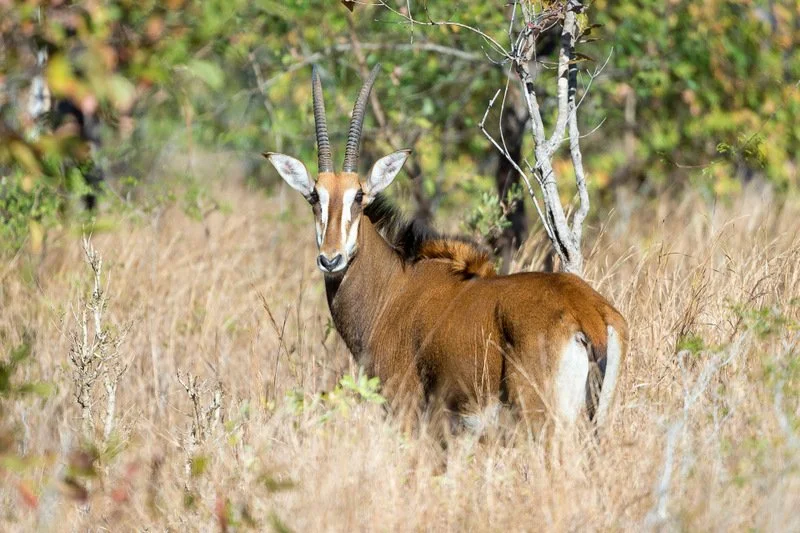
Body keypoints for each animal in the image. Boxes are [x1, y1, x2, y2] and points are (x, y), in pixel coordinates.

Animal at [264, 64, 628, 434]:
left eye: (359, 196)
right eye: (314, 197)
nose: (331, 259)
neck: (394, 287)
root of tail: (588, 314)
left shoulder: (406, 406)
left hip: (541, 416)